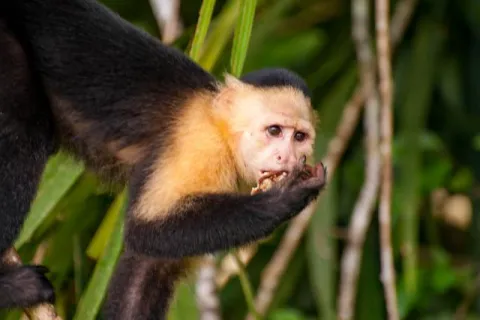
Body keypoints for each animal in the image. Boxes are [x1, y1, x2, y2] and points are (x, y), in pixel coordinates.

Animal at [0, 0, 326, 318]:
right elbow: (145, 229)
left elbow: (150, 261)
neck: (221, 129)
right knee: (24, 127)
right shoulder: (200, 142)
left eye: (300, 137)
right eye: (274, 131)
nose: (287, 157)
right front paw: (287, 196)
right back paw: (11, 288)